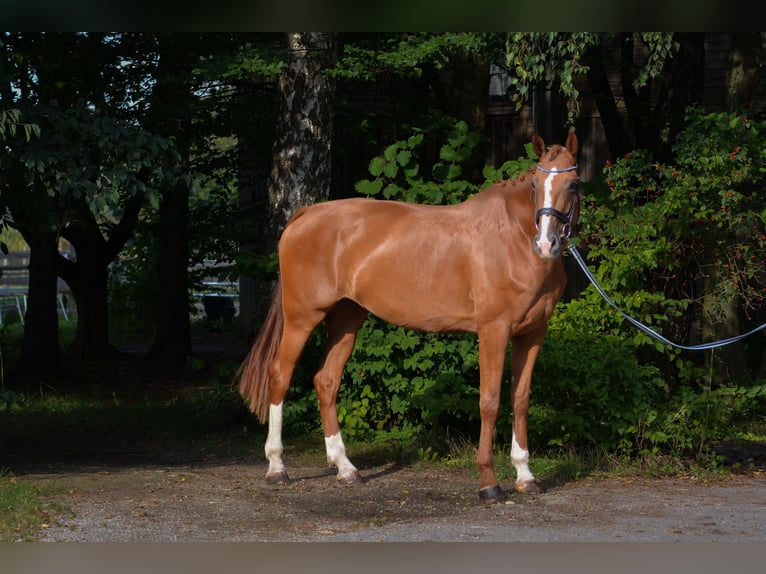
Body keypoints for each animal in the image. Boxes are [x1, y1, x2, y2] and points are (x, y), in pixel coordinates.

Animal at [240, 132, 584, 504]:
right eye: (535, 185)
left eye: (573, 184)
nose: (546, 244)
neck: (512, 238)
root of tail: (304, 214)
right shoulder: (494, 331)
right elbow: (489, 401)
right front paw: (489, 483)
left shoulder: (532, 334)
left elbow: (520, 400)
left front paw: (525, 476)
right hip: (302, 317)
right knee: (280, 375)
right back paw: (277, 467)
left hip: (347, 320)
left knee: (326, 381)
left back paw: (345, 468)